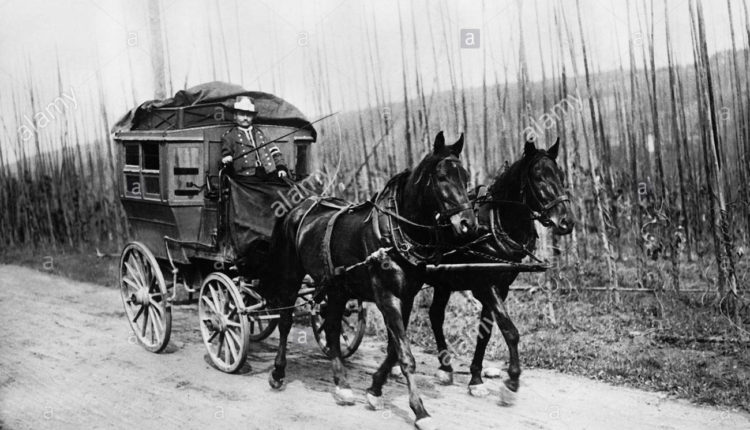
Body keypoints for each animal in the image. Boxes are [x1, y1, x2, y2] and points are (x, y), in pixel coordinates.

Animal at [259, 132, 477, 430]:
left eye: (465, 176)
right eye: (443, 177)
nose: (468, 224)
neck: (395, 232)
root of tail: (299, 207)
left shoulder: (406, 297)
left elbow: (394, 349)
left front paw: (375, 390)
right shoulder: (386, 296)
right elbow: (405, 355)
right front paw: (420, 410)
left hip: (336, 287)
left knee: (331, 328)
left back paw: (341, 384)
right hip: (292, 277)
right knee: (285, 322)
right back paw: (278, 372)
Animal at [426, 137, 575, 404]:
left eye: (559, 175)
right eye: (538, 177)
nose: (566, 221)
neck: (495, 225)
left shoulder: (501, 286)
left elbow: (485, 332)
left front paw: (476, 378)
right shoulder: (485, 285)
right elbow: (509, 330)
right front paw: (512, 381)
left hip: (443, 283)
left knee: (435, 315)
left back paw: (445, 367)